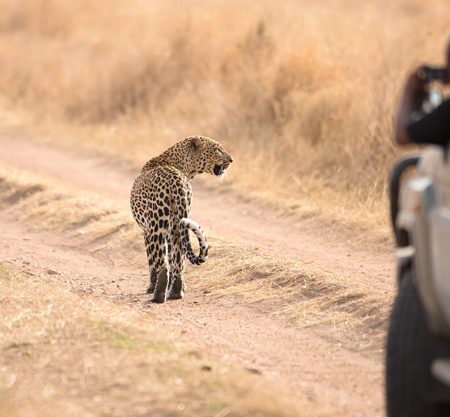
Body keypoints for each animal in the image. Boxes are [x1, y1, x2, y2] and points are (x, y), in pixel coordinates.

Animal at [130, 136, 234, 302]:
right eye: (217, 150)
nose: (231, 160)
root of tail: (177, 180)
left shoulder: (146, 231)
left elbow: (151, 260)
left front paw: (150, 287)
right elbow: (174, 260)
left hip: (157, 226)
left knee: (162, 263)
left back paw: (157, 295)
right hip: (177, 226)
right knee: (178, 260)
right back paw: (175, 292)